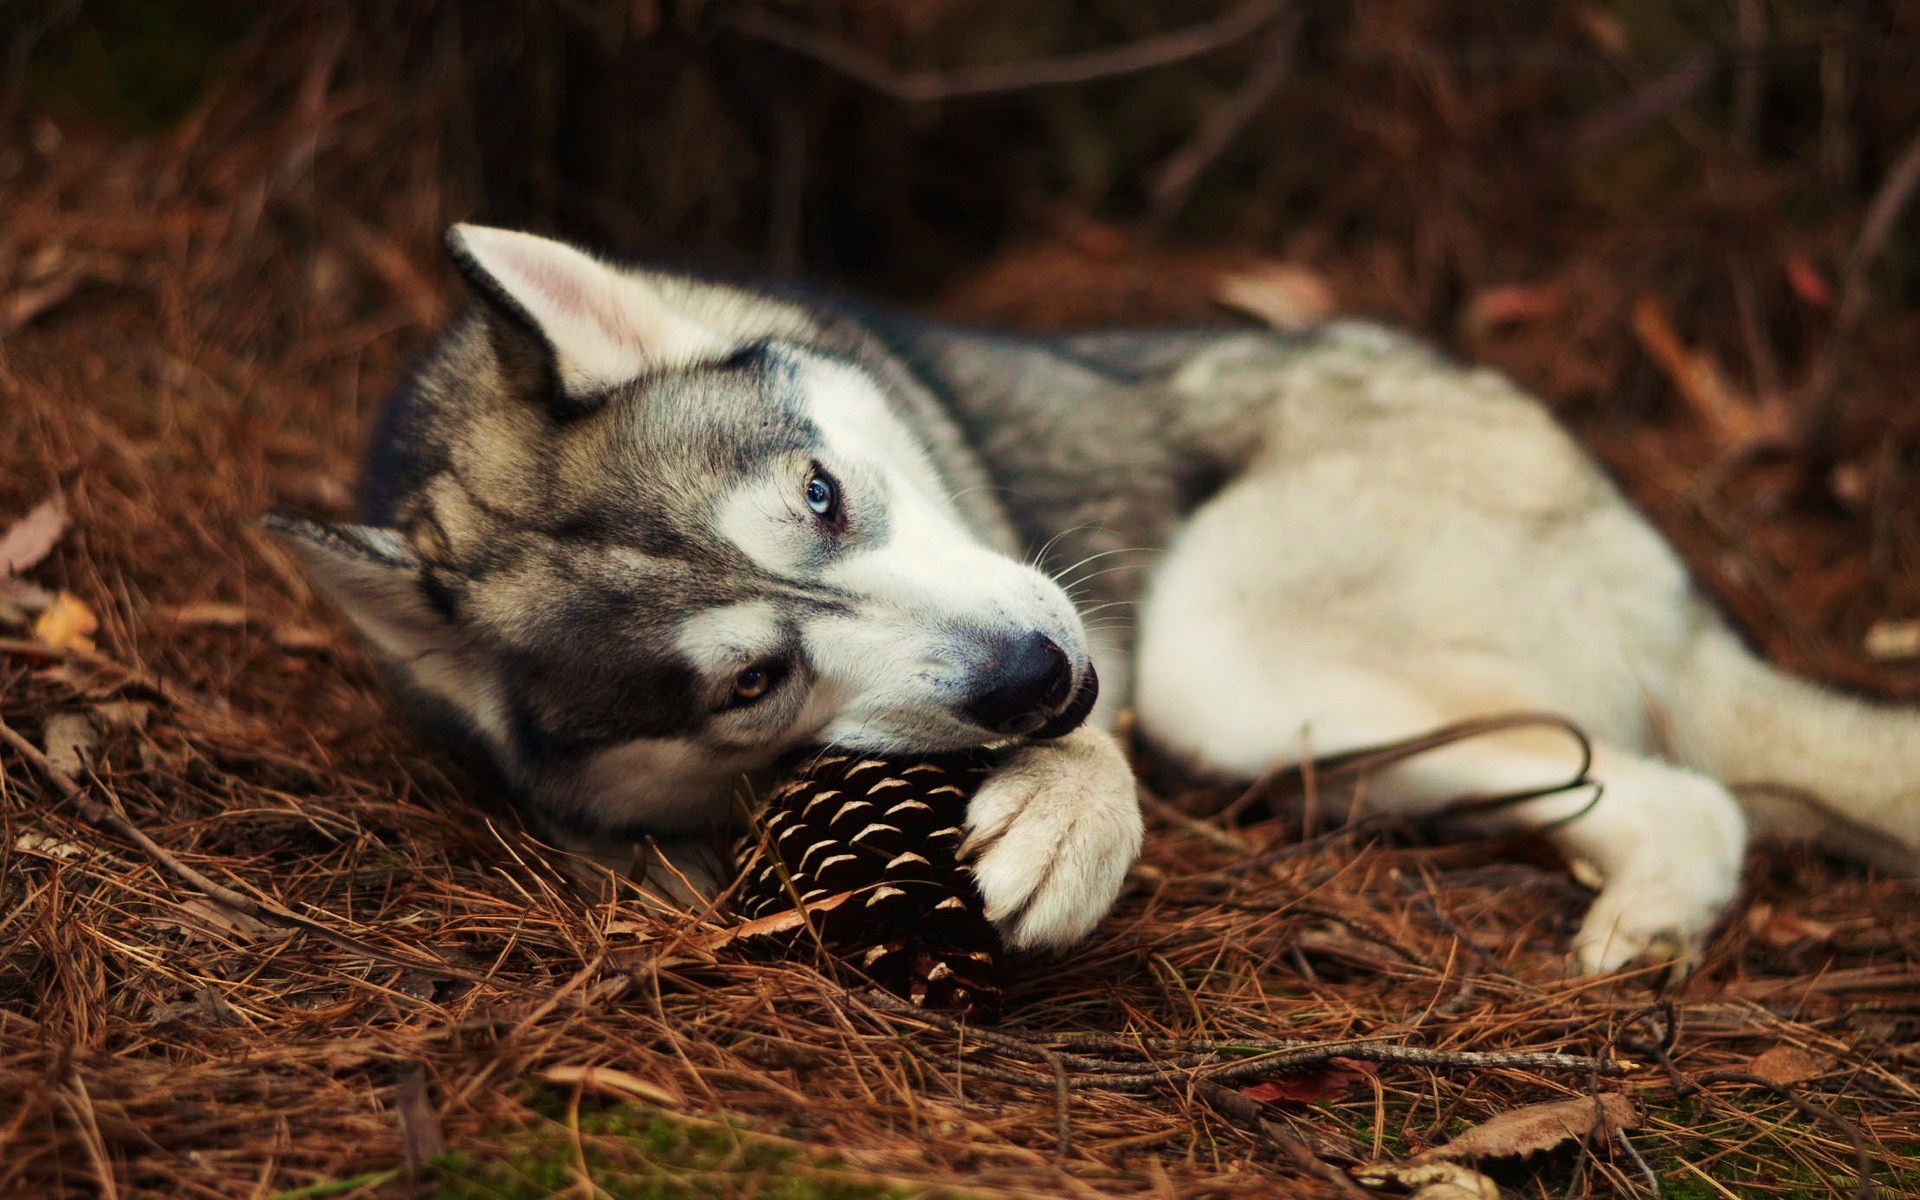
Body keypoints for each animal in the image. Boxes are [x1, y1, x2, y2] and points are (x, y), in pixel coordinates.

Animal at [274, 226, 1920, 975]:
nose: (1038, 677)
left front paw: (1066, 819)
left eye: (824, 494)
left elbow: (1094, 762)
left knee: (1696, 796)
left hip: (1217, 654)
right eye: (751, 683)